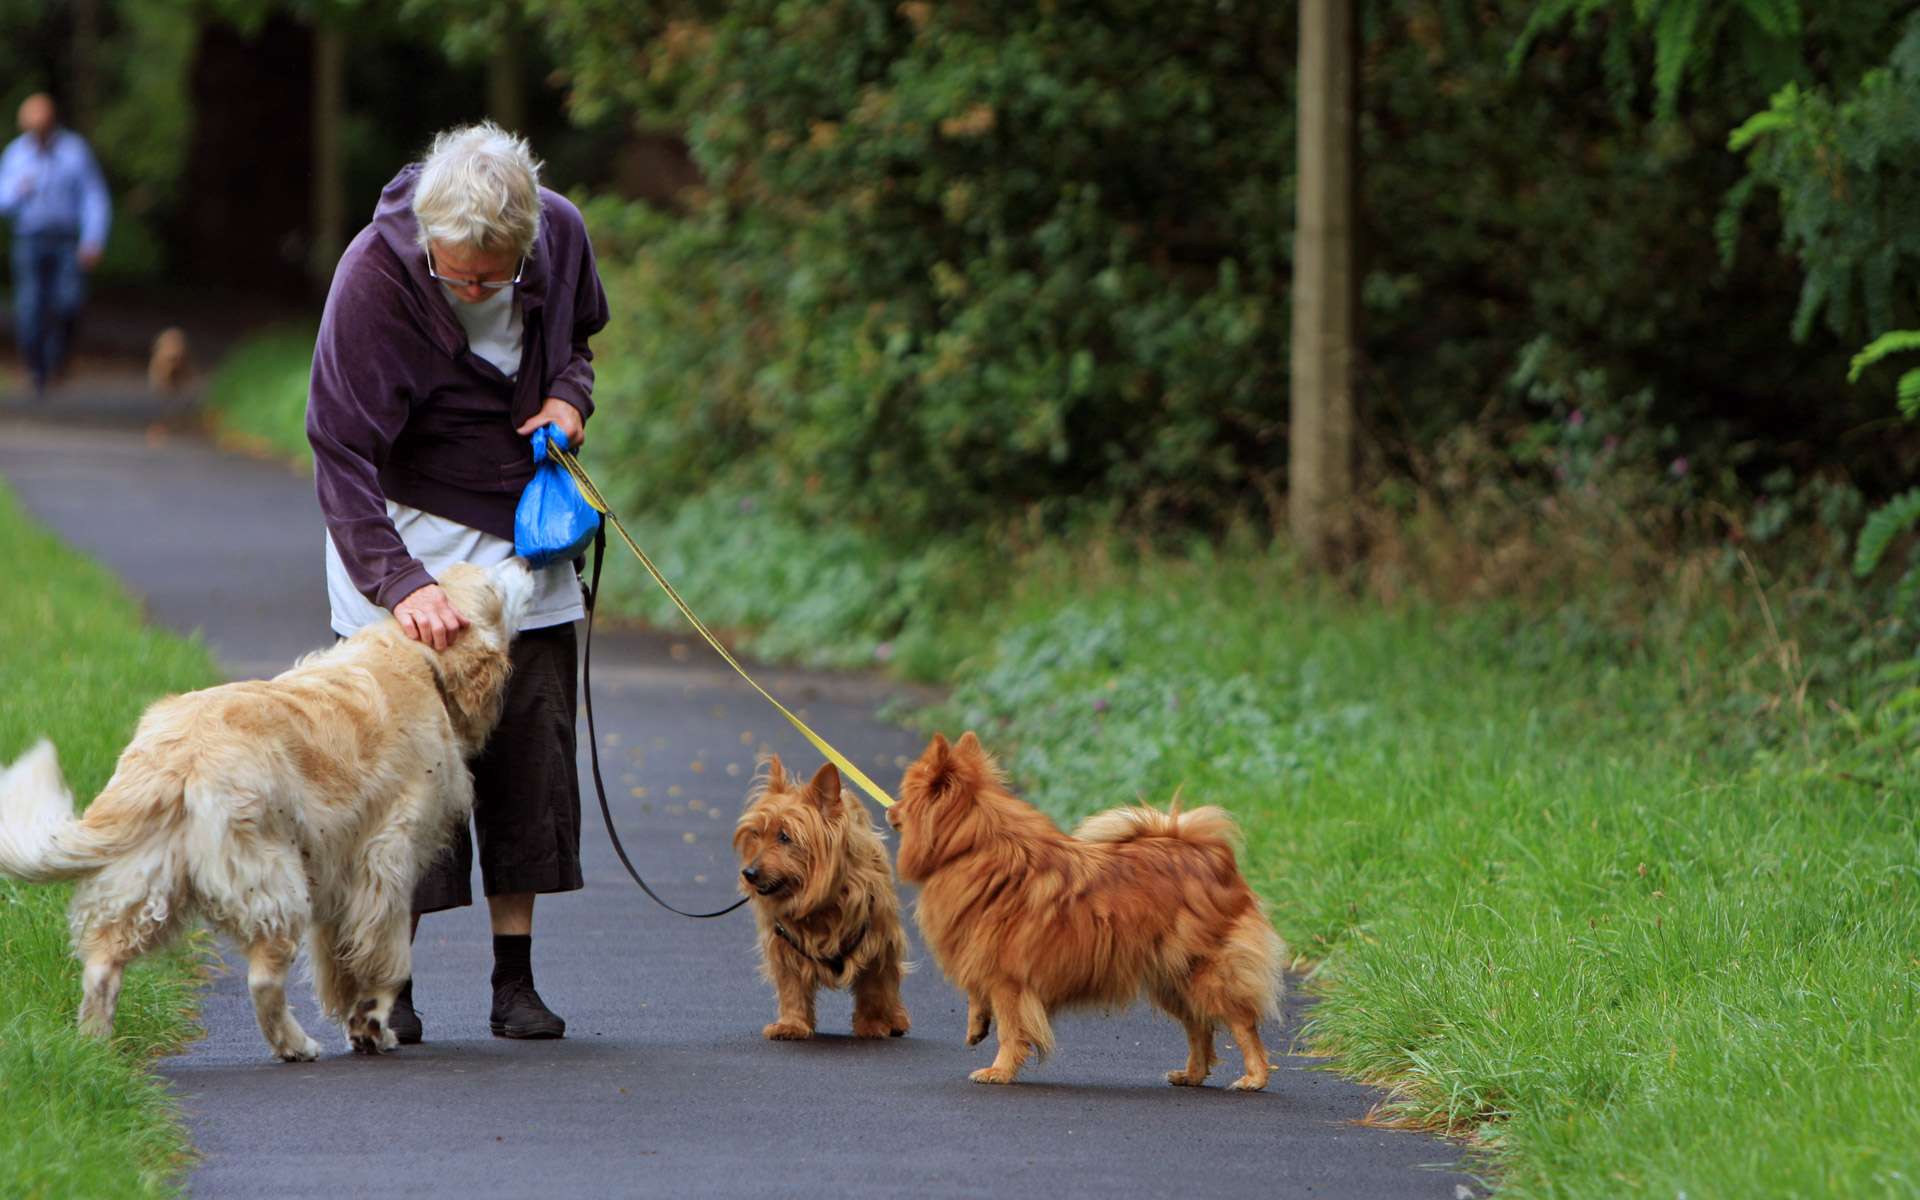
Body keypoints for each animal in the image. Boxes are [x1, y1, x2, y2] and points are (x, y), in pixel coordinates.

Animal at [0, 560, 533, 1059]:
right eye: (493, 582)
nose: (526, 561)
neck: (414, 656)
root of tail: (178, 754)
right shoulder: (386, 860)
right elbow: (388, 955)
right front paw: (374, 1024)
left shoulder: (338, 871)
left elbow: (339, 959)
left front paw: (356, 1019)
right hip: (274, 883)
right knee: (262, 980)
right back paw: (296, 1045)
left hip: (146, 884)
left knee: (101, 968)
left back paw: (95, 1052)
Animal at [733, 756, 913, 1036]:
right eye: (756, 834)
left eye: (785, 837)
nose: (749, 873)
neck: (820, 904)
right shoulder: (783, 945)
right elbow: (792, 986)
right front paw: (792, 1024)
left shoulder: (876, 942)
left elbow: (873, 987)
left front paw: (872, 1023)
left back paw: (895, 1018)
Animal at [887, 729, 1282, 1082]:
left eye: (905, 797)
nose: (891, 809)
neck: (972, 847)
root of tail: (1212, 857)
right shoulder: (982, 957)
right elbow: (979, 1000)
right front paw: (976, 1027)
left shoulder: (1008, 979)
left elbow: (1011, 1030)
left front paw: (999, 1071)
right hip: (1172, 978)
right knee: (1199, 1027)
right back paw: (1192, 1075)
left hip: (1205, 972)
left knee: (1242, 1022)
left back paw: (1255, 1077)